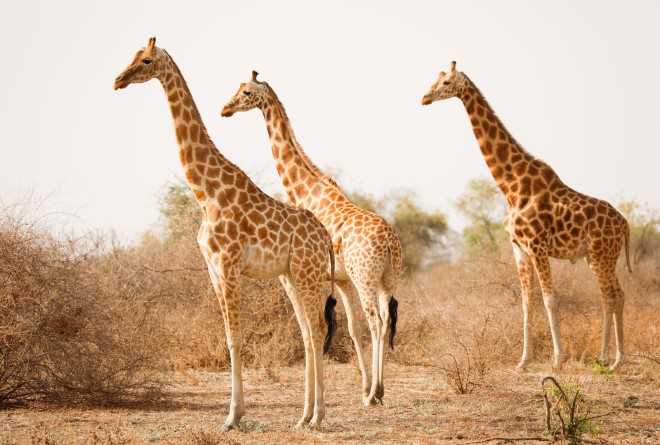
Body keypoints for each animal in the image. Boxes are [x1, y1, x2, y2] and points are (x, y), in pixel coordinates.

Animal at [114, 39, 338, 430]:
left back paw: (317, 417)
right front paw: (234, 412)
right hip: (291, 277)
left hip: (308, 275)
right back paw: (303, 416)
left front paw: (233, 416)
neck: (205, 193)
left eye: (146, 61)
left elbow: (235, 338)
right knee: (309, 334)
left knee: (319, 330)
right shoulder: (213, 269)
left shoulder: (229, 265)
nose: (118, 80)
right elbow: (228, 337)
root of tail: (324, 237)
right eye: (133, 56)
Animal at [222, 70, 402, 406]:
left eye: (246, 92)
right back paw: (377, 390)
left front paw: (363, 391)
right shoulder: (341, 279)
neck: (306, 190)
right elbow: (352, 329)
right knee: (384, 318)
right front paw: (361, 387)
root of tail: (388, 241)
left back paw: (376, 393)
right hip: (389, 277)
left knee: (377, 321)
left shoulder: (321, 276)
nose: (225, 109)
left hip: (367, 278)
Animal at [420, 60, 632, 370]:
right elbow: (526, 303)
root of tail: (625, 225)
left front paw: (557, 359)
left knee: (613, 296)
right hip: (595, 257)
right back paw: (607, 358)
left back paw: (615, 360)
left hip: (602, 254)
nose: (424, 98)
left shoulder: (537, 245)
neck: (511, 186)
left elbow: (550, 300)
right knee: (613, 295)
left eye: (446, 83)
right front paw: (523, 361)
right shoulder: (519, 248)